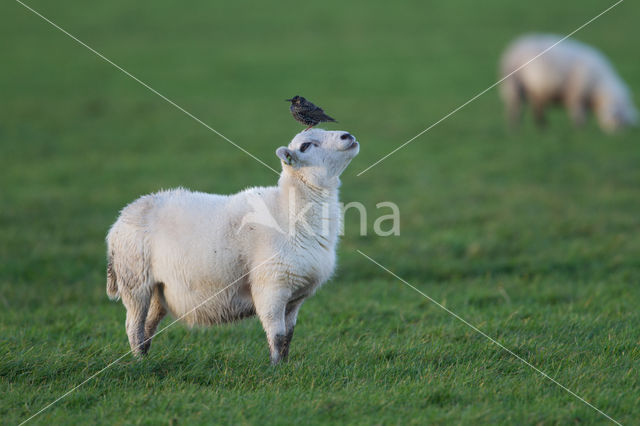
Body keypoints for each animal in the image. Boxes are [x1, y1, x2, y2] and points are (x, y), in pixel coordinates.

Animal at [102, 129, 358, 362]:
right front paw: (276, 369)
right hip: (135, 280)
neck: (289, 209)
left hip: (159, 289)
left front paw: (286, 366)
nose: (348, 136)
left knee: (148, 325)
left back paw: (145, 357)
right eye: (305, 146)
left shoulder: (295, 298)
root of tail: (119, 220)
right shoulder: (271, 287)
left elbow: (288, 336)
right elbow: (276, 335)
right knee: (133, 326)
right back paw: (139, 363)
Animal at [500, 34, 636, 131]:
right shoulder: (577, 94)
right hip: (514, 85)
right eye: (617, 120)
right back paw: (515, 129)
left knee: (537, 109)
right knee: (516, 109)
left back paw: (543, 128)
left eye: (625, 124)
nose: (618, 137)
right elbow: (579, 115)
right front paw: (580, 130)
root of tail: (514, 46)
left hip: (534, 90)